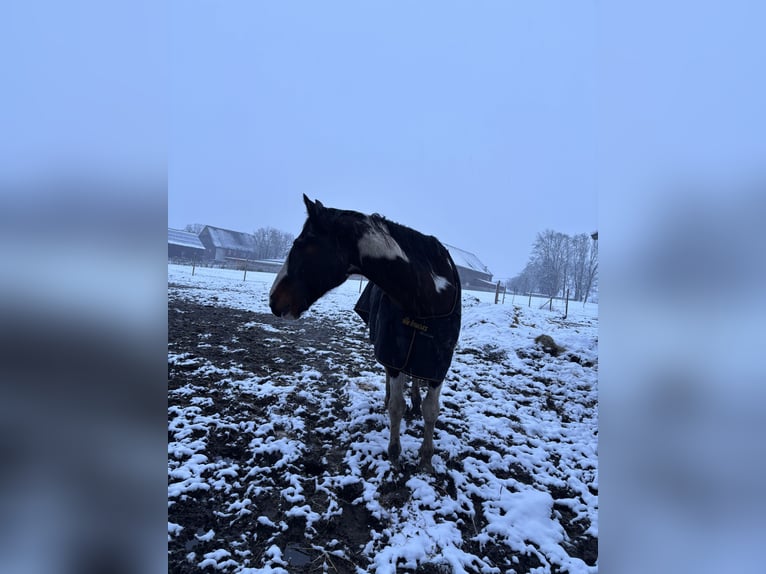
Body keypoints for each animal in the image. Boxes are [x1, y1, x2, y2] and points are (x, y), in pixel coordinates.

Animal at [270, 194, 461, 472]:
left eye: (303, 245)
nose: (273, 300)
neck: (426, 297)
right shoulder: (395, 353)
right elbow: (397, 406)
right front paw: (395, 454)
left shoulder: (438, 363)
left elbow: (431, 410)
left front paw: (426, 460)